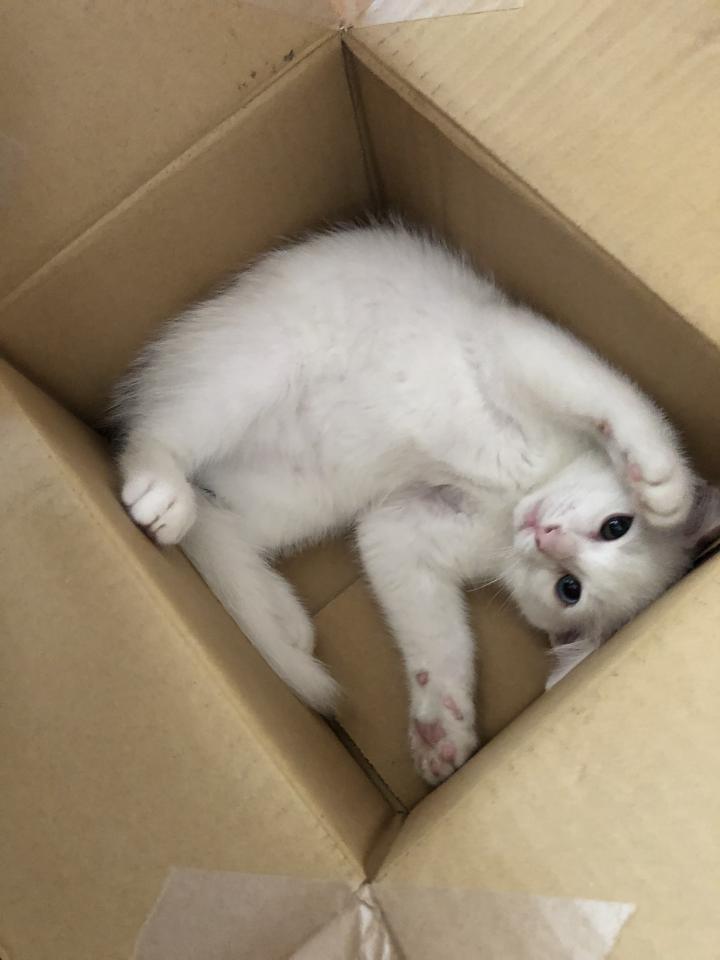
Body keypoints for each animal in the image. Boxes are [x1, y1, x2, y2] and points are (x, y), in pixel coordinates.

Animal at [111, 223, 720, 786]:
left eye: (568, 589)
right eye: (617, 525)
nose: (546, 535)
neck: (522, 490)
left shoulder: (402, 527)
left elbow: (435, 634)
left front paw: (442, 724)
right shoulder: (512, 343)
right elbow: (619, 398)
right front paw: (663, 477)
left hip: (302, 497)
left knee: (216, 523)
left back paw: (274, 606)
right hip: (255, 364)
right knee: (157, 429)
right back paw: (159, 480)